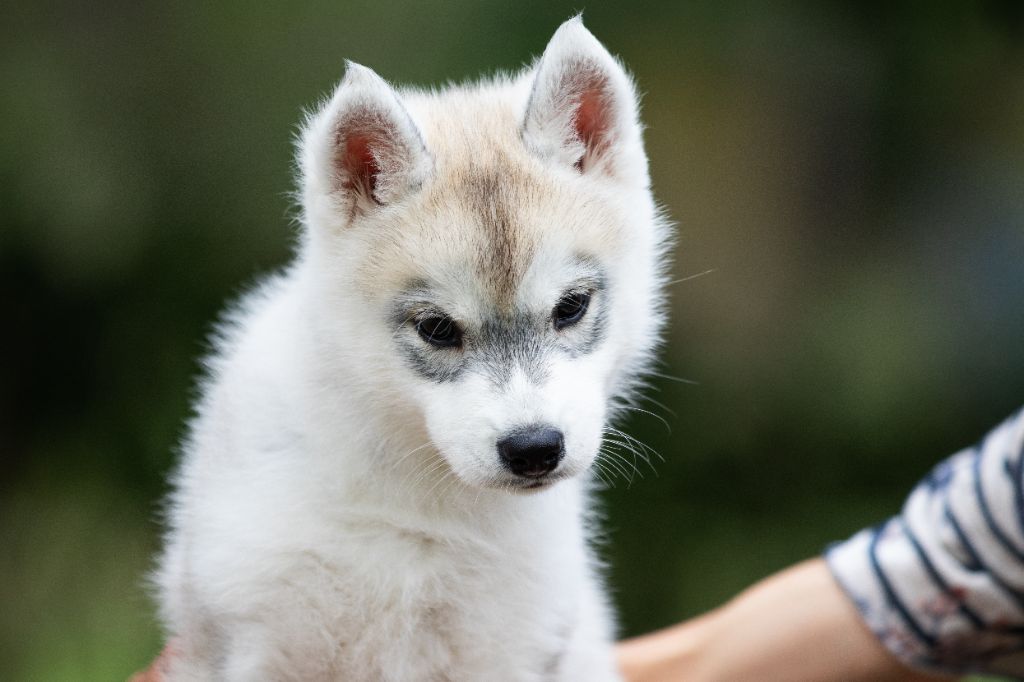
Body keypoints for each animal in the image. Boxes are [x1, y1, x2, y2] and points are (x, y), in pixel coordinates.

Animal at [154, 15, 671, 681]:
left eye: (571, 307)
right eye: (437, 329)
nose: (534, 449)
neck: (421, 505)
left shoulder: (511, 645)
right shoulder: (254, 635)